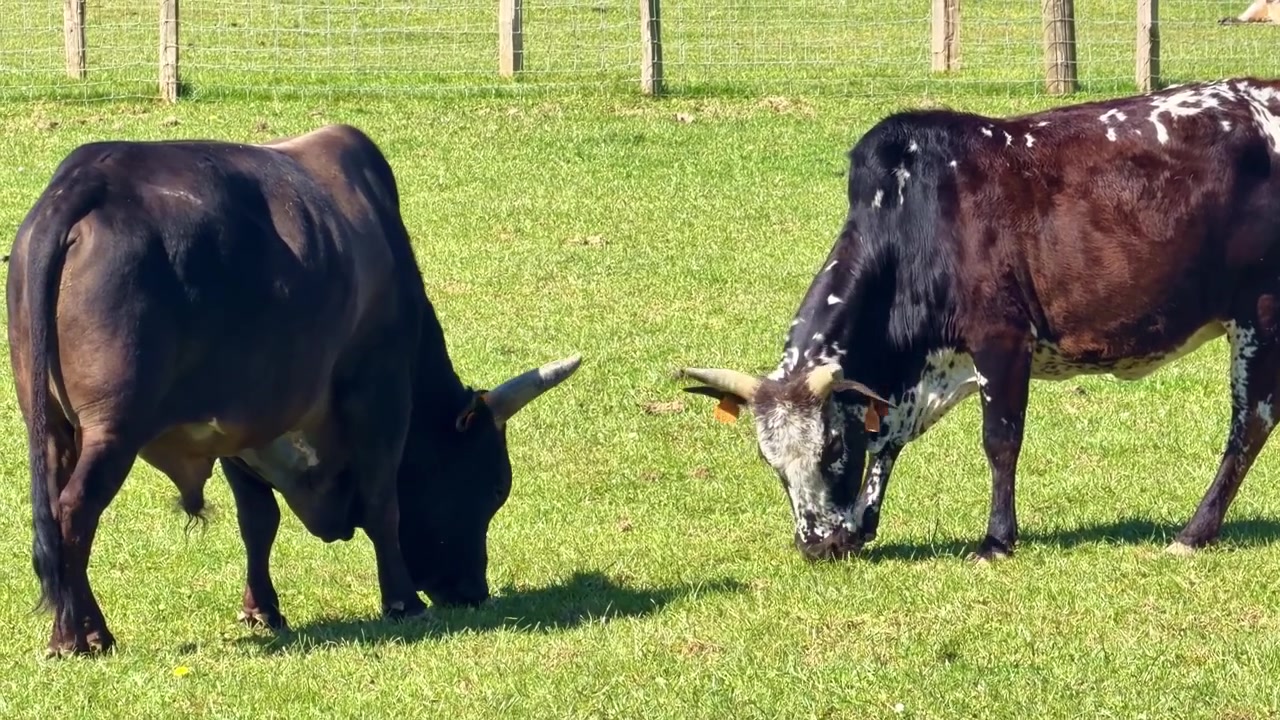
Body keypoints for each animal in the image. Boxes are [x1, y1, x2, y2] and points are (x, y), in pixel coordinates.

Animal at [6, 124, 582, 657]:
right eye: (493, 488)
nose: (472, 592)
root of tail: (88, 178)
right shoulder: (380, 393)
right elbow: (383, 503)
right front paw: (402, 601)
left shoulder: (241, 423)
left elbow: (258, 520)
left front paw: (262, 609)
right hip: (113, 429)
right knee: (74, 513)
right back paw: (79, 635)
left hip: (51, 424)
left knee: (55, 515)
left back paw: (78, 629)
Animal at [680, 78, 1280, 564]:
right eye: (770, 460)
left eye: (831, 447)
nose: (815, 543)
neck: (914, 220)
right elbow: (885, 440)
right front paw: (862, 523)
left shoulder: (1002, 340)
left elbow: (1000, 441)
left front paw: (996, 540)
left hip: (1258, 312)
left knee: (1250, 421)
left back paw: (1194, 533)